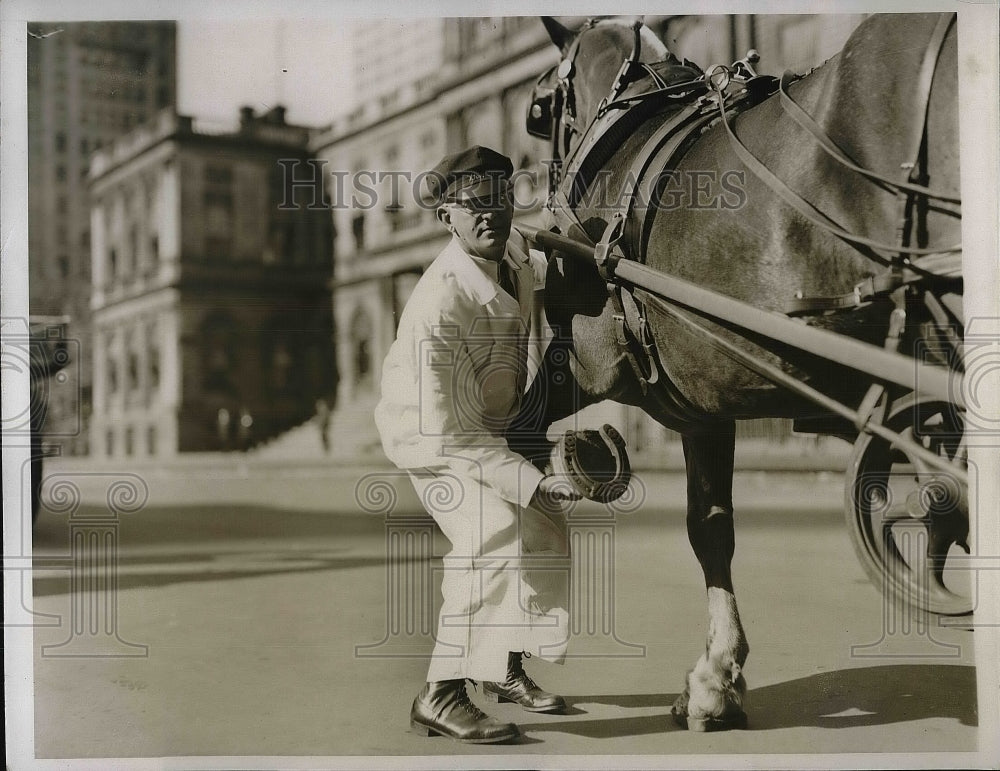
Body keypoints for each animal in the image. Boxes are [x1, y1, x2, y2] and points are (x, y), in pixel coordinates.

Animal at [508, 15, 960, 732]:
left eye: (538, 108)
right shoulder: (704, 401)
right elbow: (712, 526)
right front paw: (720, 674)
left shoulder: (582, 364)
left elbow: (521, 435)